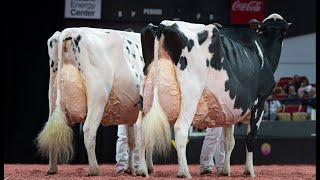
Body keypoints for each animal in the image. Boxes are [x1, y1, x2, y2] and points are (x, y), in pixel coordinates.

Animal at [36, 27, 144, 176]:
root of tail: (71, 31)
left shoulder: (129, 109)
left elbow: (131, 140)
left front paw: (130, 169)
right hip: (98, 95)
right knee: (89, 129)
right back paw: (94, 170)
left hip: (53, 95)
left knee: (52, 130)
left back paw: (52, 169)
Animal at [136, 13, 292, 178]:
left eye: (283, 31)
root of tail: (163, 25)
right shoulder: (260, 100)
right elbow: (250, 137)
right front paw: (249, 171)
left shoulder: (231, 108)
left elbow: (229, 142)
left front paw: (225, 170)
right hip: (191, 94)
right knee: (180, 129)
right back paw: (184, 172)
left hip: (145, 93)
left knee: (140, 128)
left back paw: (142, 170)